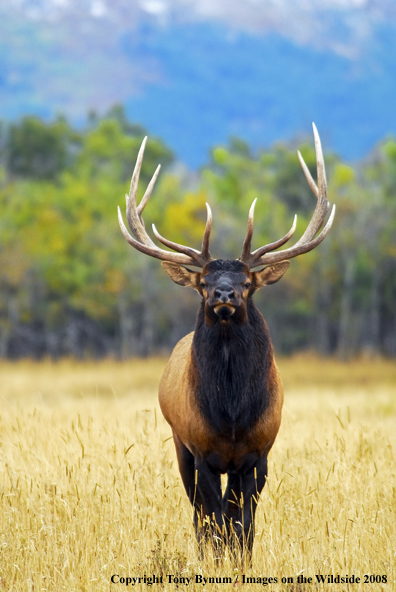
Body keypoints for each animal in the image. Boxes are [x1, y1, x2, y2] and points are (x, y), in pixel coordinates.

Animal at [117, 122, 334, 556]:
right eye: (203, 282)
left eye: (247, 281)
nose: (223, 294)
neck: (232, 417)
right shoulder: (201, 451)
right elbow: (215, 521)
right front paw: (216, 561)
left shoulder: (258, 453)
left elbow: (244, 526)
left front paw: (242, 563)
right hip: (179, 444)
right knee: (199, 516)